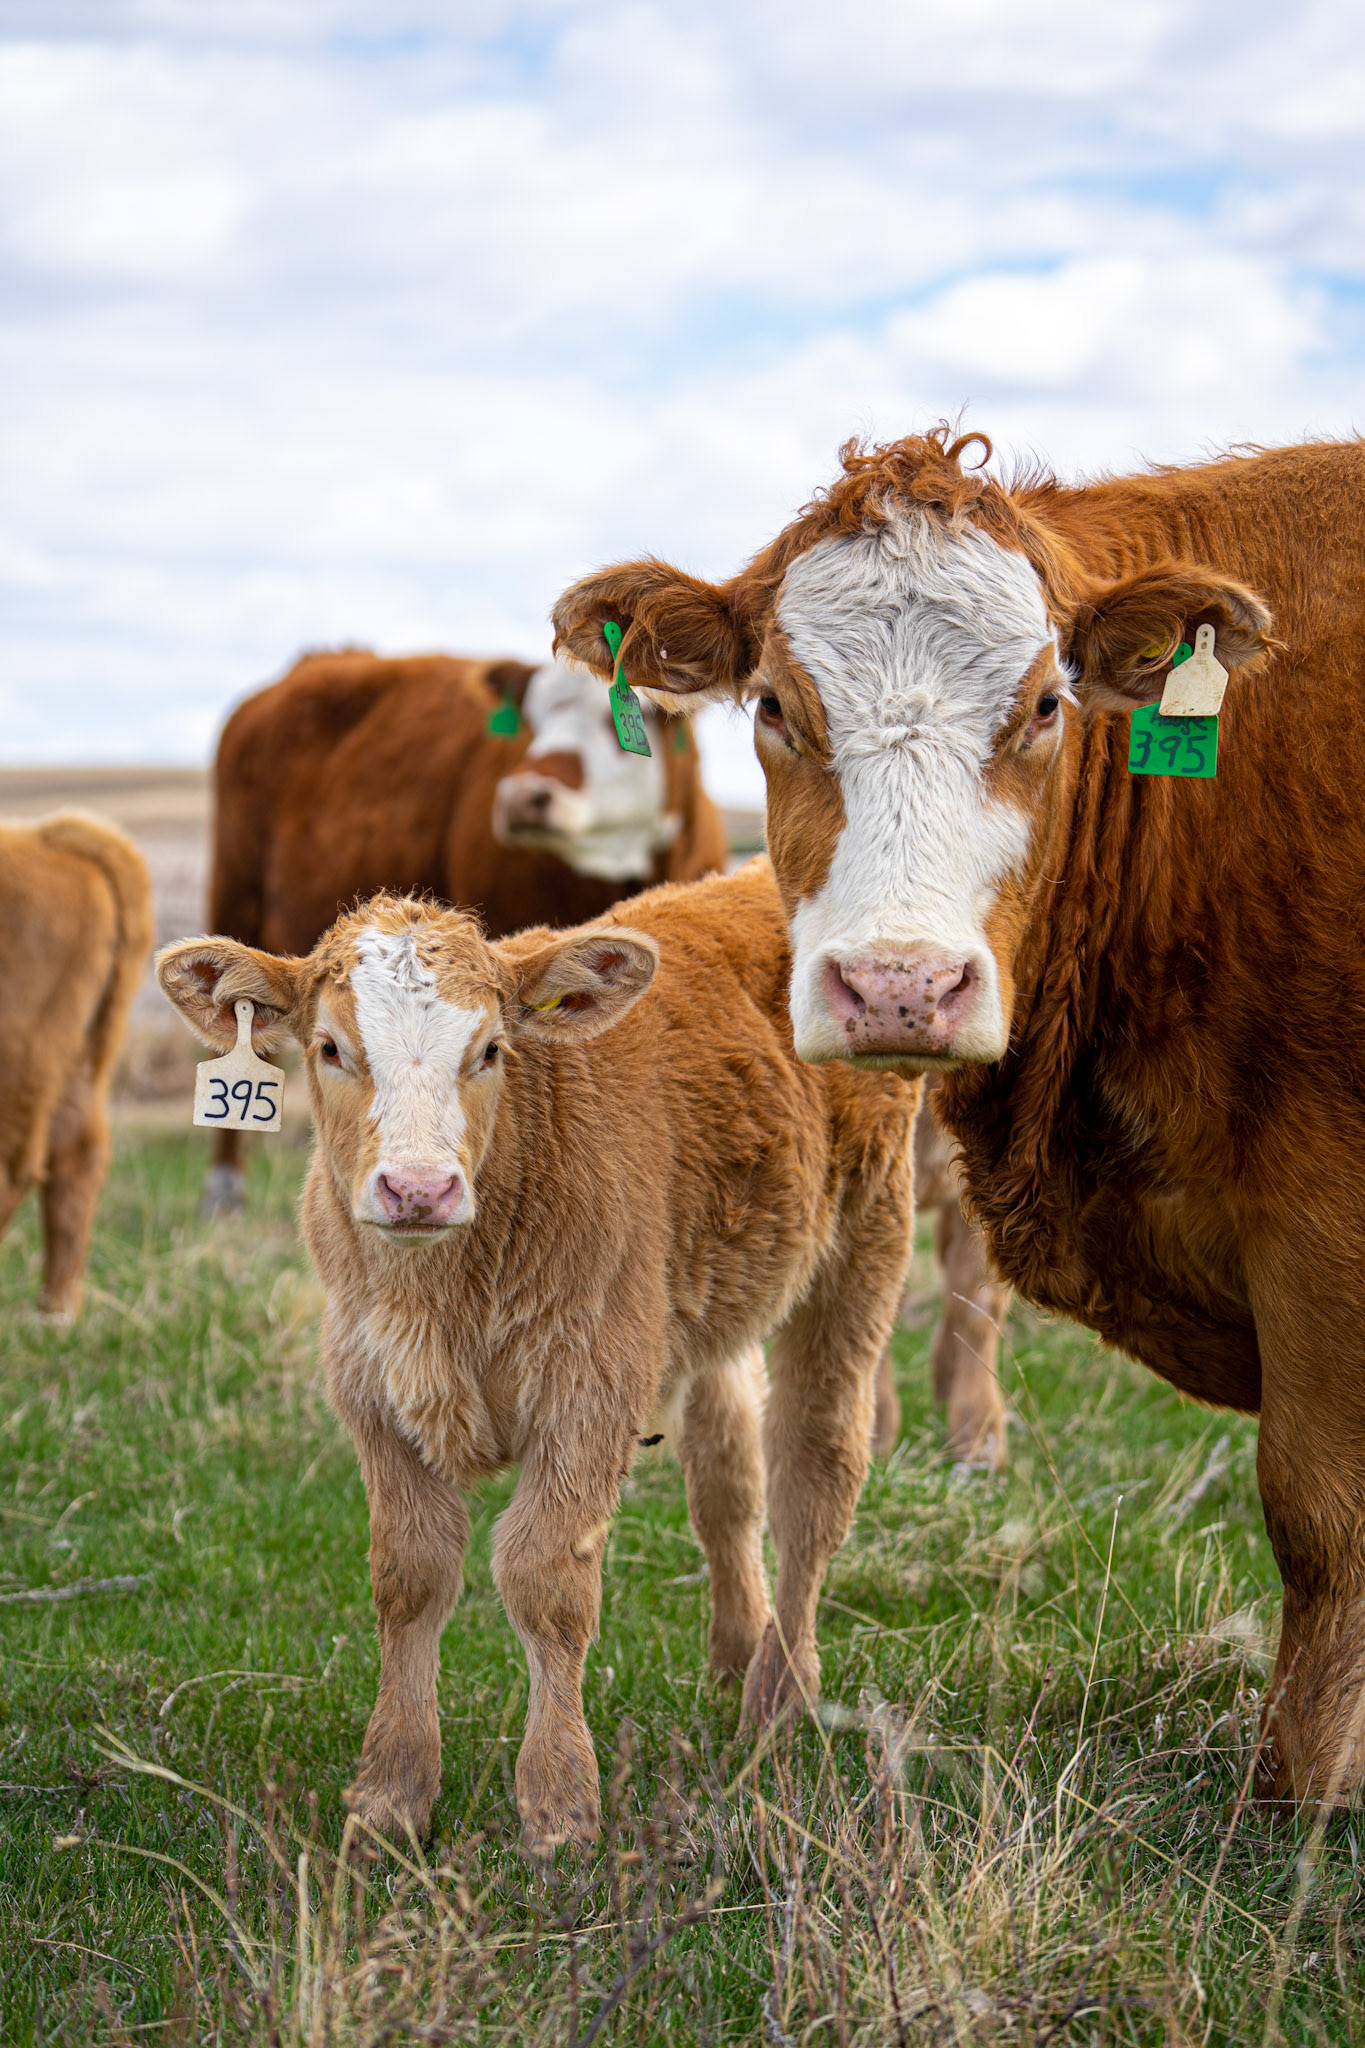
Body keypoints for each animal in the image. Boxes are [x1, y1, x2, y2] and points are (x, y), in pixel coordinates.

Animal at [157, 860, 917, 1852]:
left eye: (488, 1051)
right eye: (328, 1048)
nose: (417, 1189)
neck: (443, 1296)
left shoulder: (590, 1389)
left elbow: (542, 1575)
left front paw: (559, 1801)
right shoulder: (369, 1388)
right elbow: (410, 1575)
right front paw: (391, 1791)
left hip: (864, 1245)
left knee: (812, 1485)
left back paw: (779, 1697)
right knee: (728, 1475)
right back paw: (735, 1652)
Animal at [552, 429, 1365, 1810]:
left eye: (1044, 705)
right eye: (774, 705)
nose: (900, 986)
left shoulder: (1322, 1228)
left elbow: (1317, 1512)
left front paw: (1302, 1796)